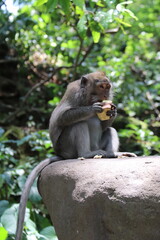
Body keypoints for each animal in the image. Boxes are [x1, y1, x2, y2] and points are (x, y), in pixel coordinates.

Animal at [15, 71, 136, 240]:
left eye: (107, 87)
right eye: (101, 86)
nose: (106, 94)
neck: (88, 96)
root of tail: (61, 154)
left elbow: (106, 125)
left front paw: (112, 111)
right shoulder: (74, 93)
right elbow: (62, 117)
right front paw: (94, 108)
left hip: (98, 145)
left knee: (109, 130)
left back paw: (112, 154)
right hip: (67, 147)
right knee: (78, 124)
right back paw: (87, 154)